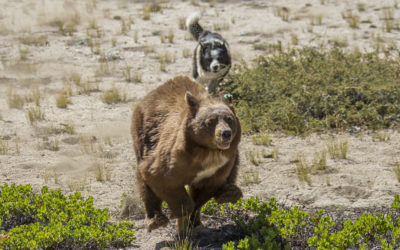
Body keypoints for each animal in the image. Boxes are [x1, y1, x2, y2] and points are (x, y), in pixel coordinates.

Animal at [130, 75, 241, 232]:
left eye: (229, 119)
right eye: (210, 121)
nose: (225, 133)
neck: (208, 151)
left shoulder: (219, 166)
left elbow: (205, 189)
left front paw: (192, 220)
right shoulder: (175, 157)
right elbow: (159, 176)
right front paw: (180, 213)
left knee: (234, 168)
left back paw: (229, 193)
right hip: (144, 136)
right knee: (143, 177)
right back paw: (155, 220)